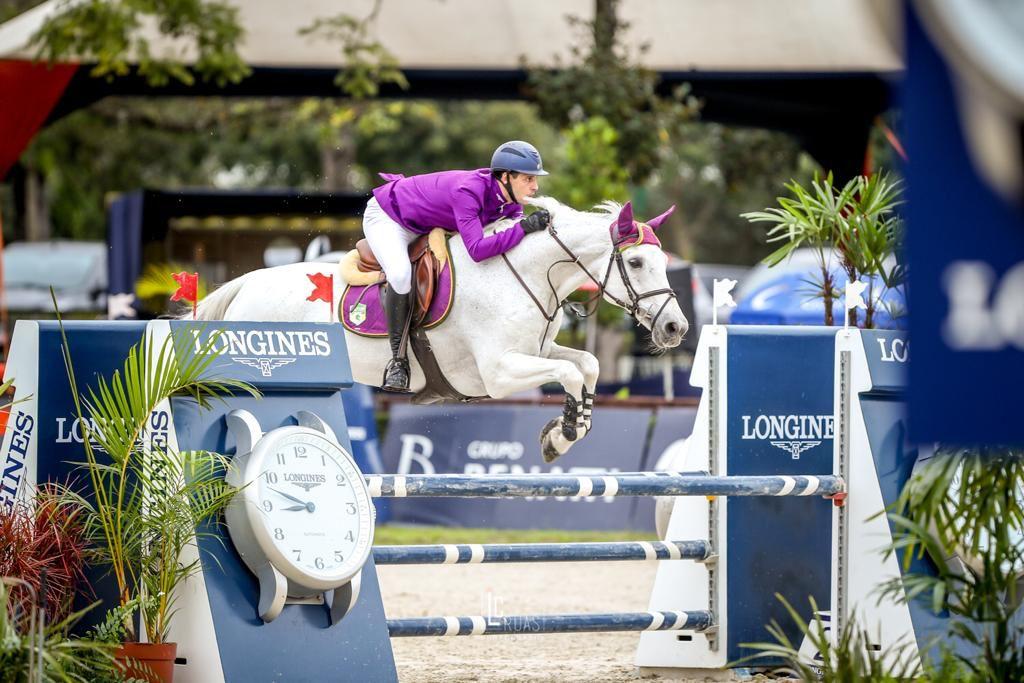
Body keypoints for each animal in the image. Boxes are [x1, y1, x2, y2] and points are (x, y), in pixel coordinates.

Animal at [192, 197, 688, 464]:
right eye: (636, 262)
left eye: (662, 262)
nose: (675, 327)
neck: (521, 275)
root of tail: (243, 285)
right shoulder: (497, 373)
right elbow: (569, 373)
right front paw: (563, 433)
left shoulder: (536, 351)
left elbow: (586, 364)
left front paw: (565, 432)